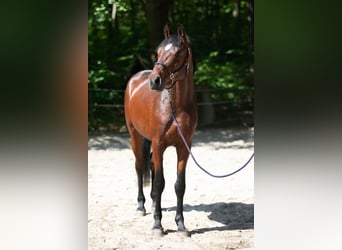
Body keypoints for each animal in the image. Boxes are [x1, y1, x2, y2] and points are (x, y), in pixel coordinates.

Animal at [124, 23, 196, 236]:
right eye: (158, 51)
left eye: (178, 53)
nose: (154, 81)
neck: (176, 106)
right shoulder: (158, 144)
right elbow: (159, 182)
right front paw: (157, 224)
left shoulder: (184, 147)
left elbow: (179, 185)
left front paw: (180, 225)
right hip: (135, 136)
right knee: (140, 166)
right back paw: (141, 206)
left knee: (151, 166)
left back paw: (154, 201)